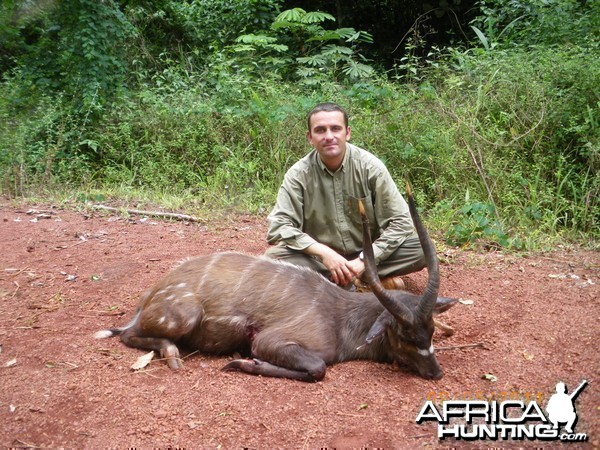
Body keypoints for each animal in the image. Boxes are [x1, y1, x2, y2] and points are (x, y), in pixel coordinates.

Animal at [96, 185, 458, 382]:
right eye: (404, 334)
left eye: (431, 331)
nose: (436, 372)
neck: (342, 318)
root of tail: (150, 295)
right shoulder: (273, 340)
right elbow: (317, 368)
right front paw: (242, 362)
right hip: (183, 315)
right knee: (127, 334)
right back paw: (171, 355)